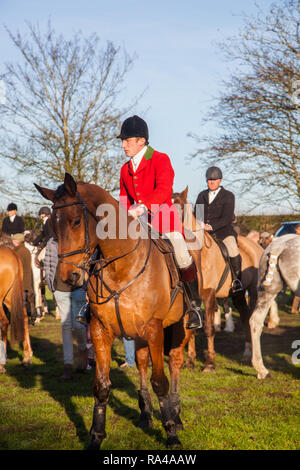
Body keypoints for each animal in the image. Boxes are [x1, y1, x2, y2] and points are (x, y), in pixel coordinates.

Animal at [0, 242, 33, 370]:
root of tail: (12, 253)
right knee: (24, 317)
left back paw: (1, 364)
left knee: (4, 321)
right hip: (10, 297)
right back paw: (26, 358)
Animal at [34, 172, 197, 448]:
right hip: (139, 335)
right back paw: (145, 415)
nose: (66, 279)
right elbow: (101, 386)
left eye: (76, 221)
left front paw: (171, 434)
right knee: (141, 363)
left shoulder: (155, 329)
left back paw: (175, 415)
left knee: (174, 362)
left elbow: (160, 381)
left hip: (180, 327)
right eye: (52, 228)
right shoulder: (100, 330)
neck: (121, 266)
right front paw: (96, 436)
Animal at [172, 185, 264, 370]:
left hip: (252, 292)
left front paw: (209, 363)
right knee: (245, 317)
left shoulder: (208, 295)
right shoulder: (189, 298)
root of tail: (255, 245)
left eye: (179, 207)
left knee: (250, 318)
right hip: (237, 294)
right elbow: (191, 329)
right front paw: (190, 362)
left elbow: (208, 328)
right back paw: (246, 353)